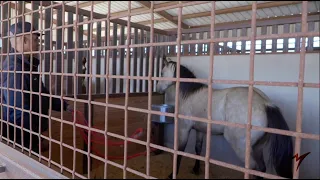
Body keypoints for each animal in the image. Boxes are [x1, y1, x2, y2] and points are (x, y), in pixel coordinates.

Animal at [155, 56, 292, 179]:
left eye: (161, 73)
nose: (158, 89)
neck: (189, 95)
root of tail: (266, 104)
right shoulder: (200, 130)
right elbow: (198, 149)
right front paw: (196, 169)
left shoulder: (184, 128)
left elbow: (180, 151)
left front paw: (172, 174)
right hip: (257, 147)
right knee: (262, 169)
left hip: (241, 147)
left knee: (253, 169)